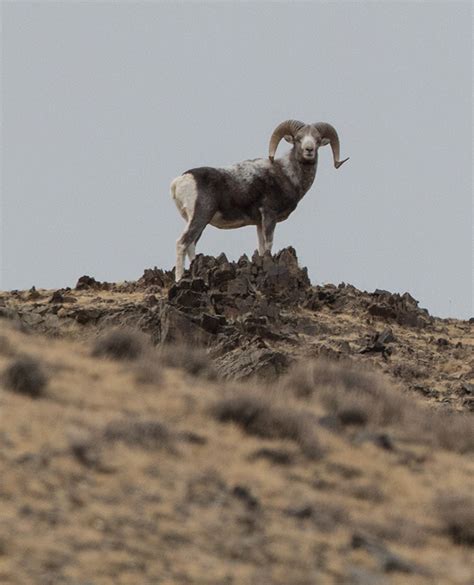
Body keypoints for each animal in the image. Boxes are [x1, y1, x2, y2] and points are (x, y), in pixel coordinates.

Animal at [170, 119, 348, 280]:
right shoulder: (269, 215)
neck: (287, 175)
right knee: (182, 243)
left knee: (191, 245)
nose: (309, 150)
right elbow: (268, 245)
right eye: (298, 138)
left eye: (317, 140)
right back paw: (179, 279)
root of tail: (180, 181)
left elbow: (261, 247)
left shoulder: (258, 223)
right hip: (200, 216)